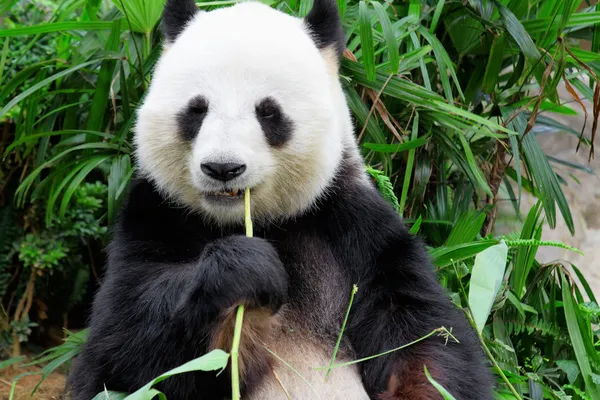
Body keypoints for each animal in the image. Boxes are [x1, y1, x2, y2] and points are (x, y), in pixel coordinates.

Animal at [68, 0, 494, 398]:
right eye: (196, 109)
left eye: (268, 113)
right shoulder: (156, 211)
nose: (223, 168)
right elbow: (123, 347)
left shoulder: (351, 221)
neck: (253, 221)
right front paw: (246, 272)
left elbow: (421, 335)